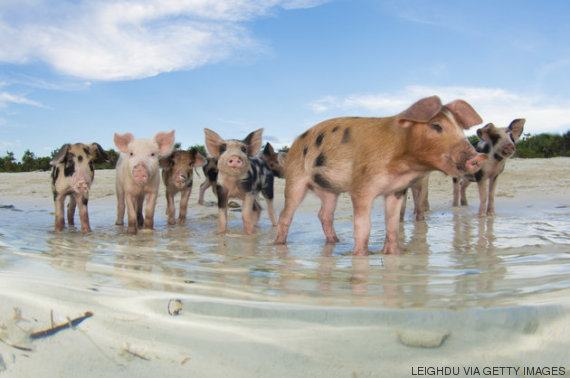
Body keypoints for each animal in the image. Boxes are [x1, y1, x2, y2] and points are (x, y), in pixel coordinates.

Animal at [272, 96, 486, 255]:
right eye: (436, 126)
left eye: (461, 128)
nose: (478, 157)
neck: (405, 165)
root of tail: (294, 144)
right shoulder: (361, 188)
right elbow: (363, 228)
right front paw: (361, 255)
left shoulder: (396, 190)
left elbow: (392, 226)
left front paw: (393, 254)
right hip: (295, 179)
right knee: (285, 214)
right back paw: (279, 245)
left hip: (330, 190)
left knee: (324, 214)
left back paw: (335, 242)